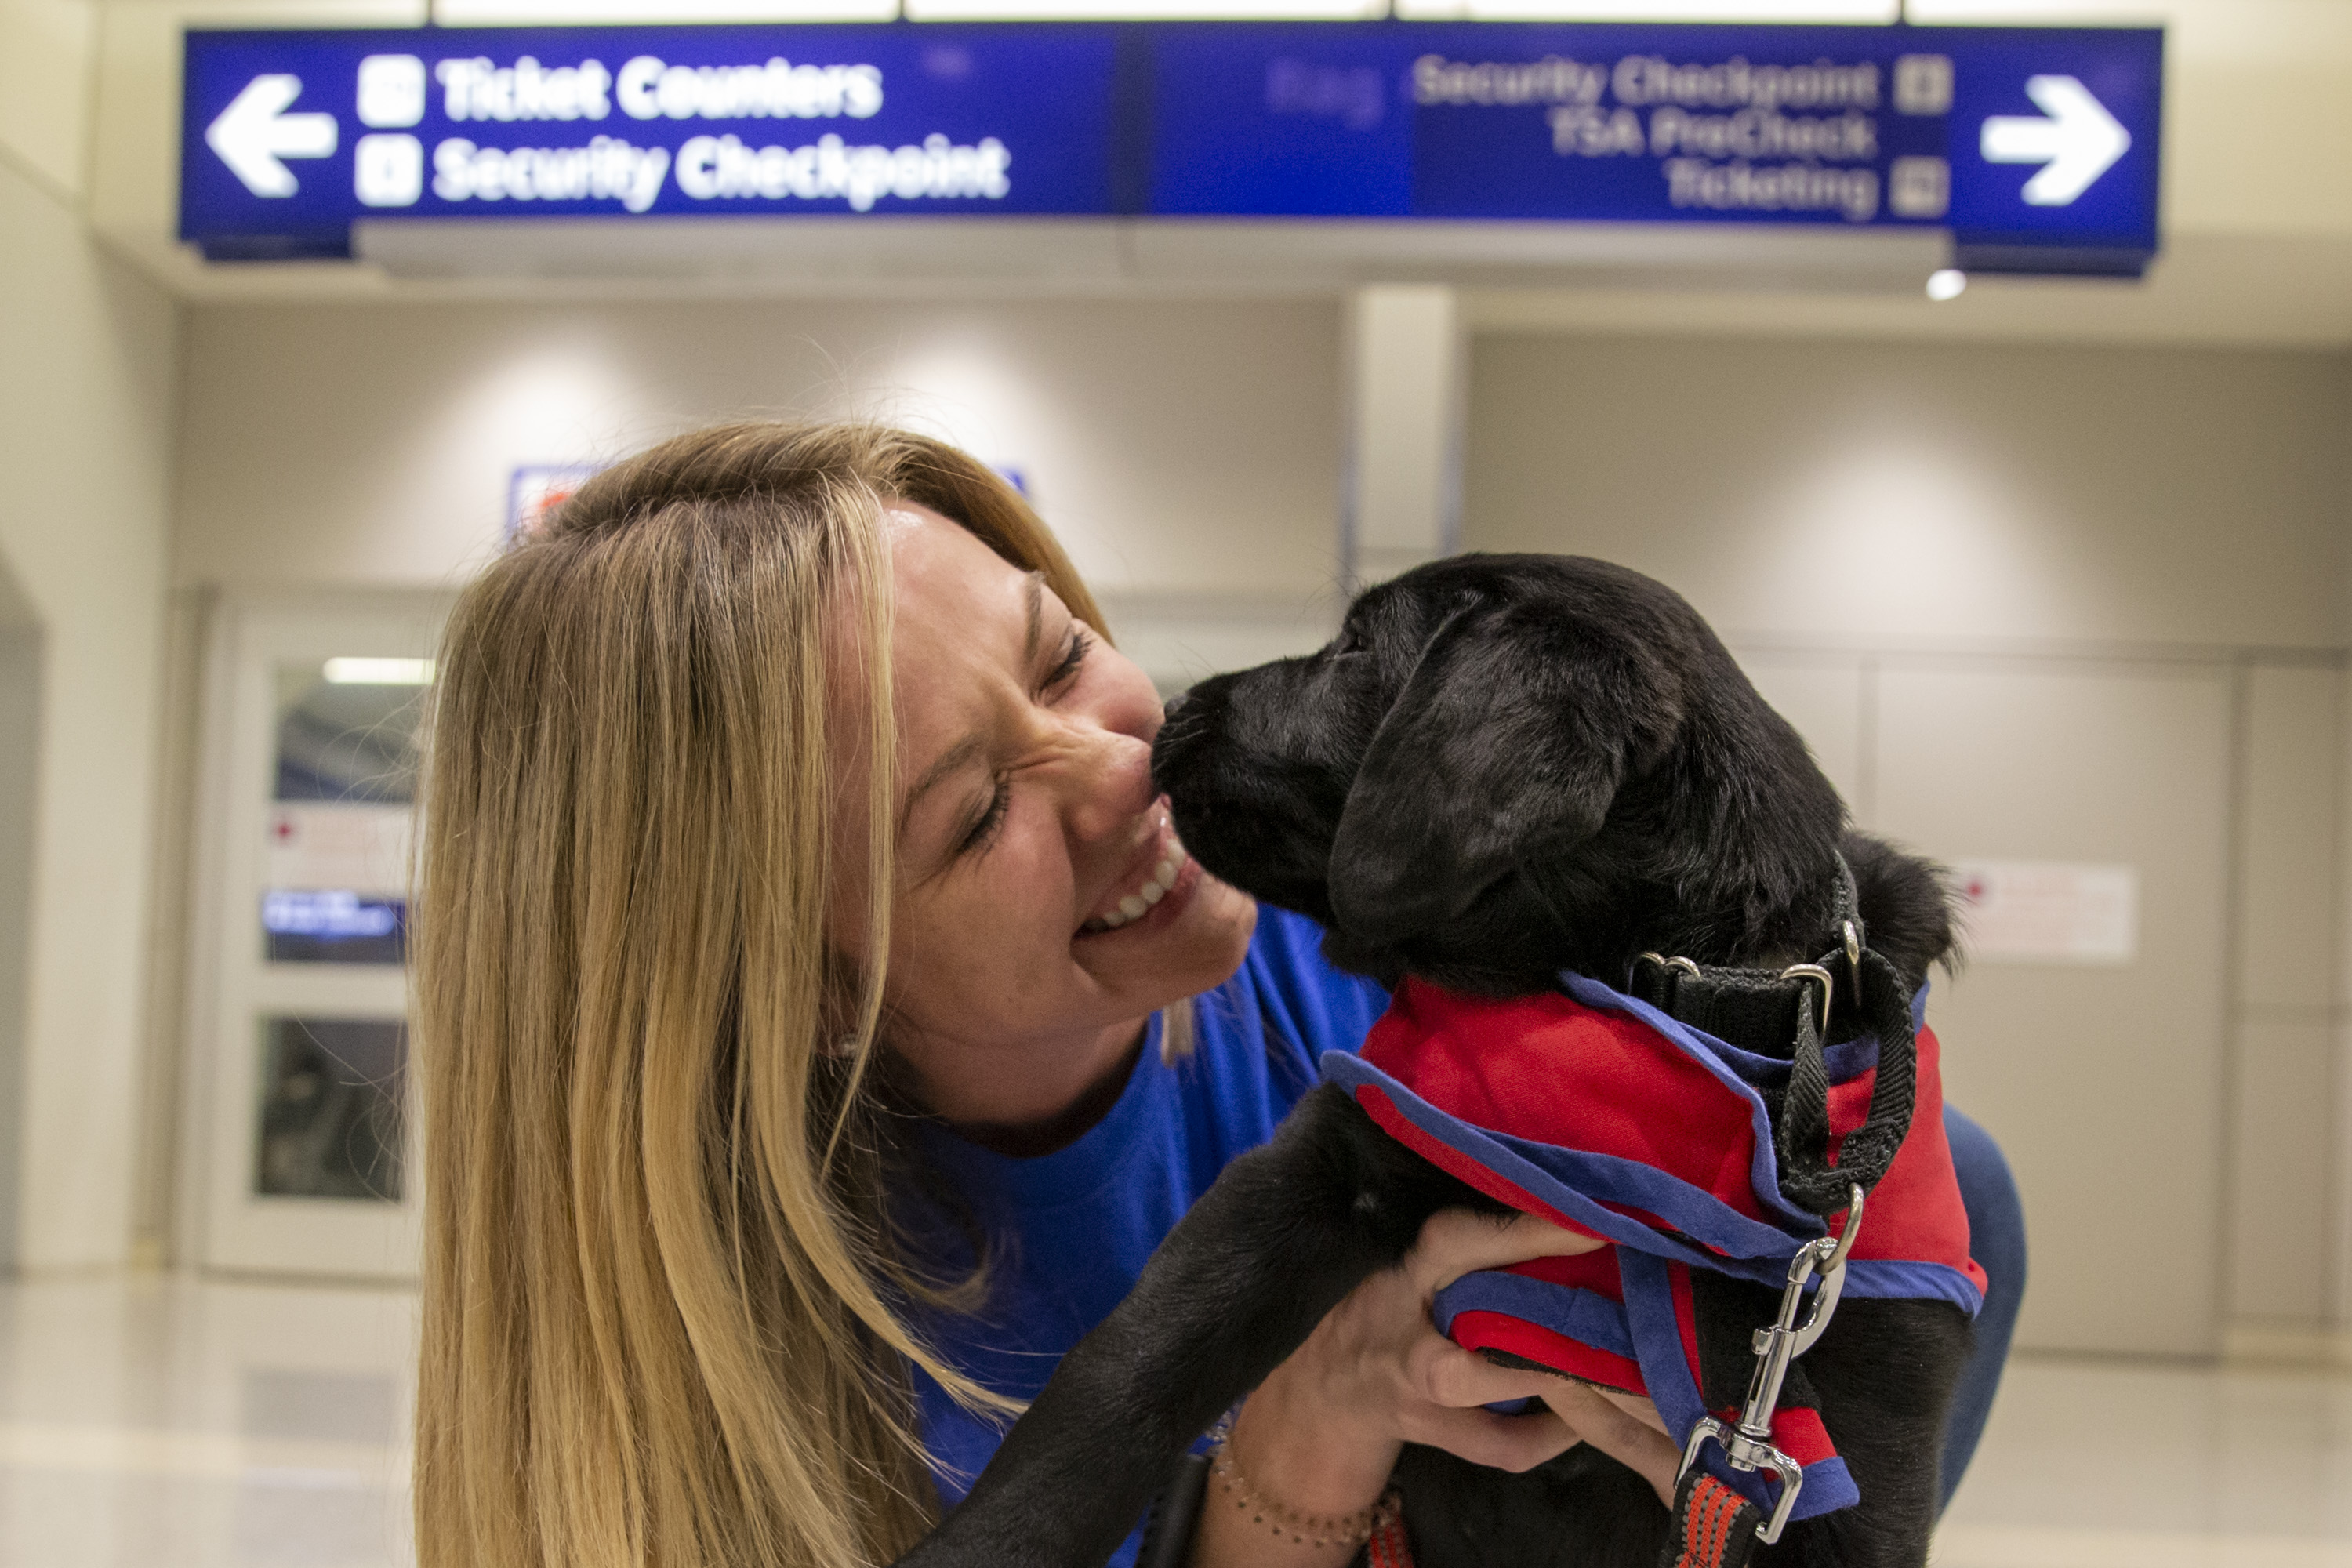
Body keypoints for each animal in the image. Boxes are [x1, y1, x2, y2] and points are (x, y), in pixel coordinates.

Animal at [898, 552, 1966, 1568]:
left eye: (1356, 650)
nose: (1167, 713)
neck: (1657, 987)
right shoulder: (1326, 1163)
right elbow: (1127, 1366)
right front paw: (987, 1543)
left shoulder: (1856, 1405)